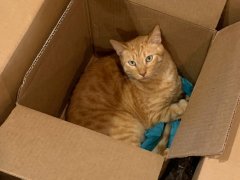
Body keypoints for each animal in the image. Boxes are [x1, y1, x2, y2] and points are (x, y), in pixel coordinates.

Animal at [67, 25, 188, 155]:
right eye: (132, 63)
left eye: (149, 58)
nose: (142, 73)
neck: (161, 77)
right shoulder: (153, 115)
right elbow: (172, 111)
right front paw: (184, 105)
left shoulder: (178, 88)